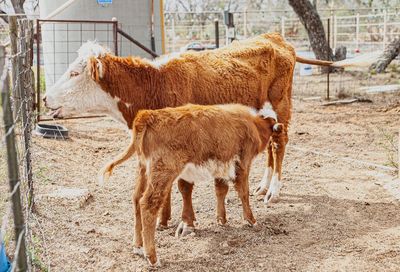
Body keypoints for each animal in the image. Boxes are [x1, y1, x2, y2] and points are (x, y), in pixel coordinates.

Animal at [43, 33, 332, 235]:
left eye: (74, 72)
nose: (45, 97)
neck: (158, 84)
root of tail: (274, 37)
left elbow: (184, 185)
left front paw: (186, 223)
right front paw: (164, 220)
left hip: (281, 103)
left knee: (280, 142)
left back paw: (273, 191)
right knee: (272, 142)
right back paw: (262, 186)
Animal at [99, 102, 282, 266]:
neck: (253, 123)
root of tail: (148, 115)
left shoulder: (222, 165)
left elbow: (221, 190)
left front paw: (221, 219)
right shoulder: (243, 164)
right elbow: (244, 192)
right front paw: (252, 220)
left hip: (143, 170)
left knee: (137, 199)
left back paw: (138, 247)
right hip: (162, 172)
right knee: (148, 205)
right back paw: (153, 257)